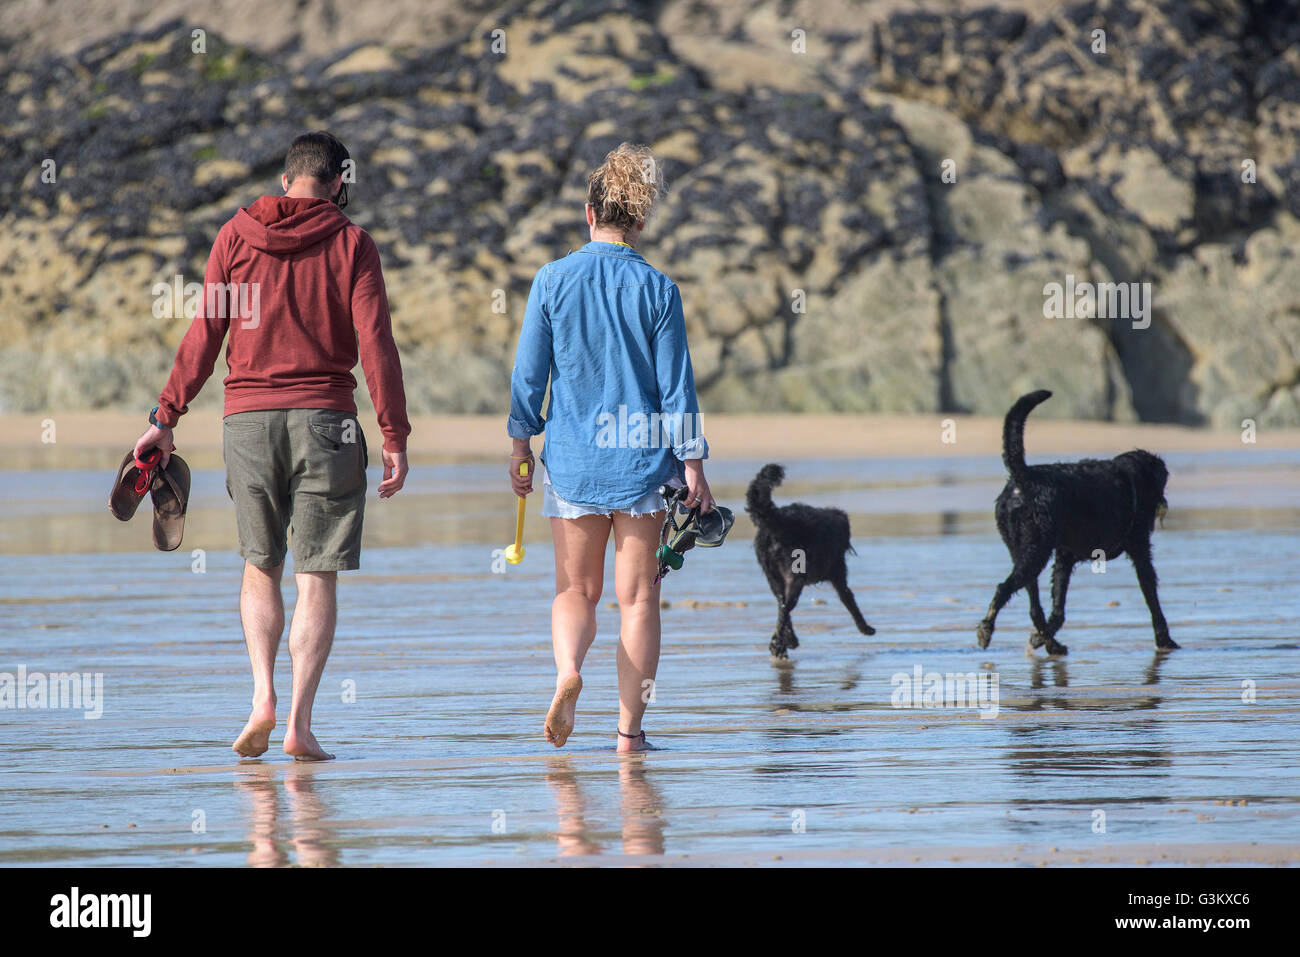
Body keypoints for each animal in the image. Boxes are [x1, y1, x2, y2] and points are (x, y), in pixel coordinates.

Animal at [748, 462, 878, 657]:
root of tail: (777, 522)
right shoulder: (838, 574)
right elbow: (849, 599)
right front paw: (865, 628)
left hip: (774, 577)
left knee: (781, 605)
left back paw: (786, 642)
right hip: (795, 576)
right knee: (786, 607)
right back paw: (778, 645)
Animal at [977, 384, 1180, 655]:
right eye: (1162, 481)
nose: (1163, 503)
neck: (1131, 477)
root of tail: (1024, 477)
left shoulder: (1065, 557)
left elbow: (1058, 606)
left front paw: (1041, 637)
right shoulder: (1139, 547)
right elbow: (1151, 593)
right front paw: (1164, 639)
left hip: (1022, 549)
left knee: (1033, 603)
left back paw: (1051, 642)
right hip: (1036, 550)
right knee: (1004, 588)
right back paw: (987, 628)